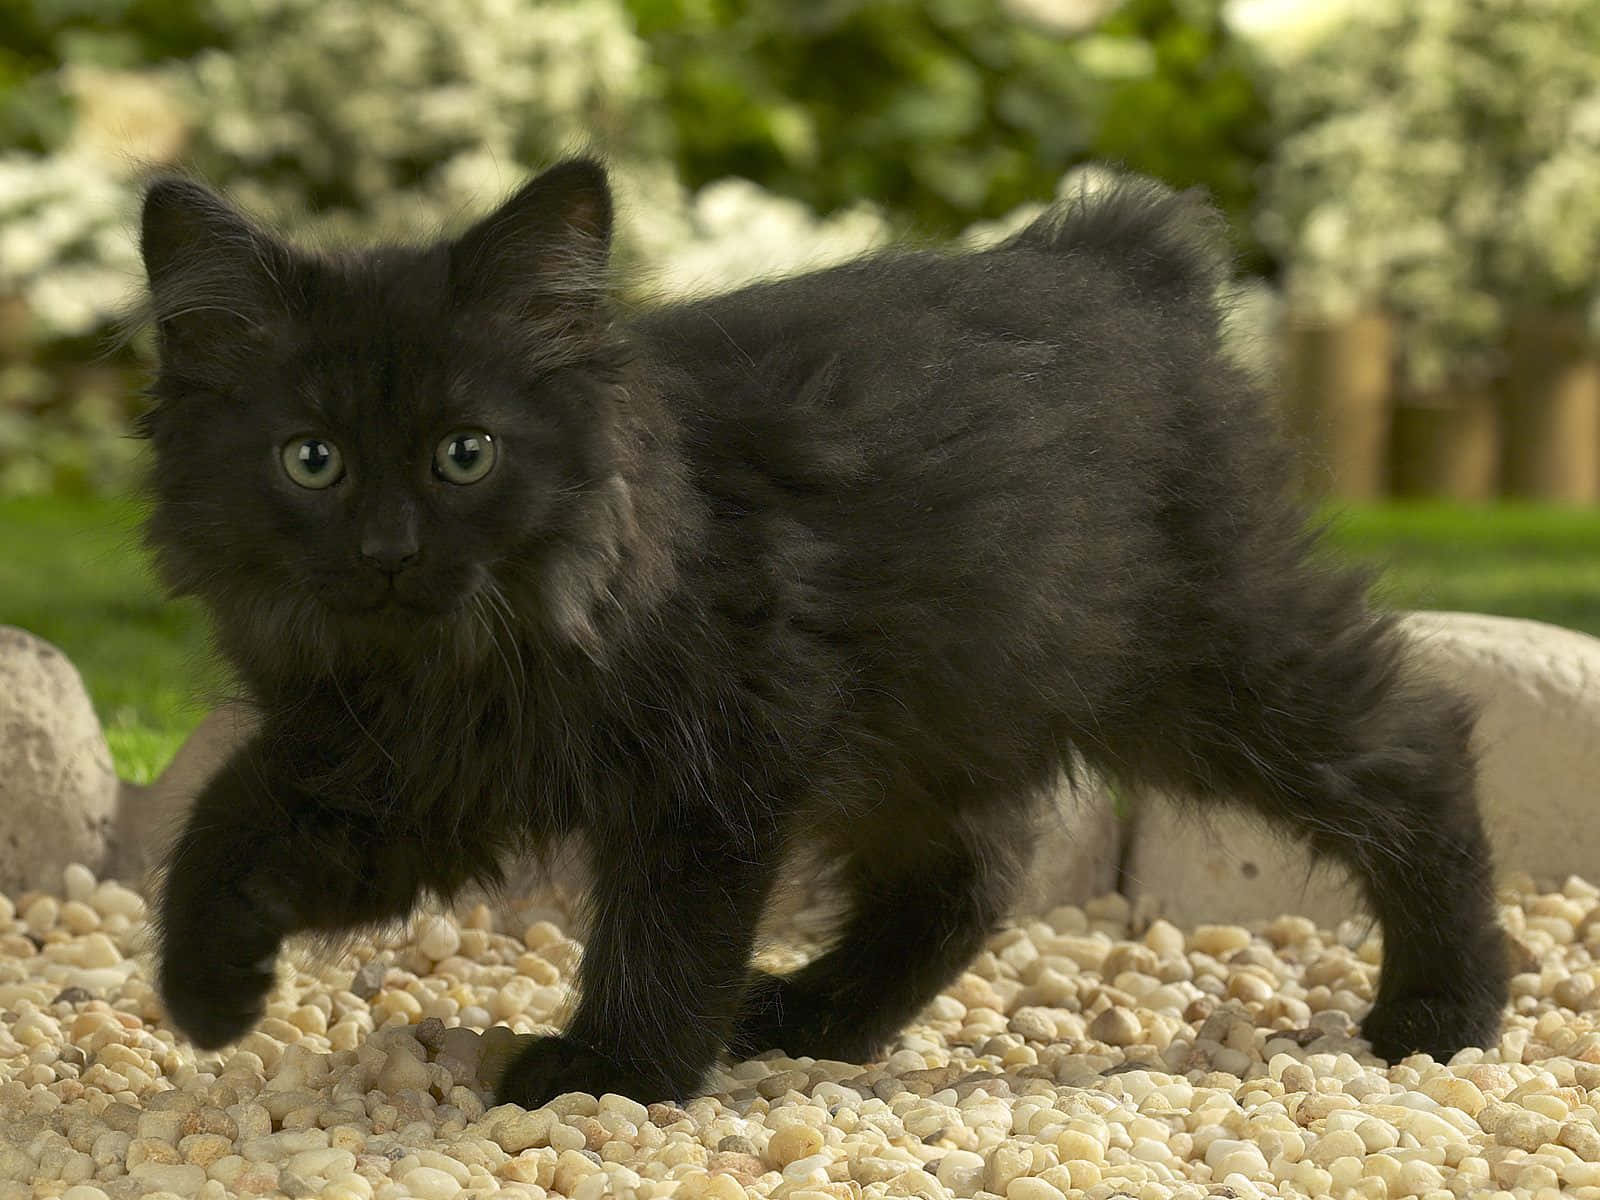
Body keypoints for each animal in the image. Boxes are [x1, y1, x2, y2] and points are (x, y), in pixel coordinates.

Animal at [134, 160, 1497, 1107]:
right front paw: (206, 988)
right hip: (937, 712)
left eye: (465, 453)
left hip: (1197, 658)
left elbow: (665, 929)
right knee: (967, 873)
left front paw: (614, 1073)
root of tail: (1119, 262)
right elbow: (226, 819)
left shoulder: (717, 756)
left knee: (1412, 748)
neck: (452, 660)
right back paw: (814, 1021)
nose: (389, 551)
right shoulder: (395, 767)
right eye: (310, 460)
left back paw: (1450, 1007)